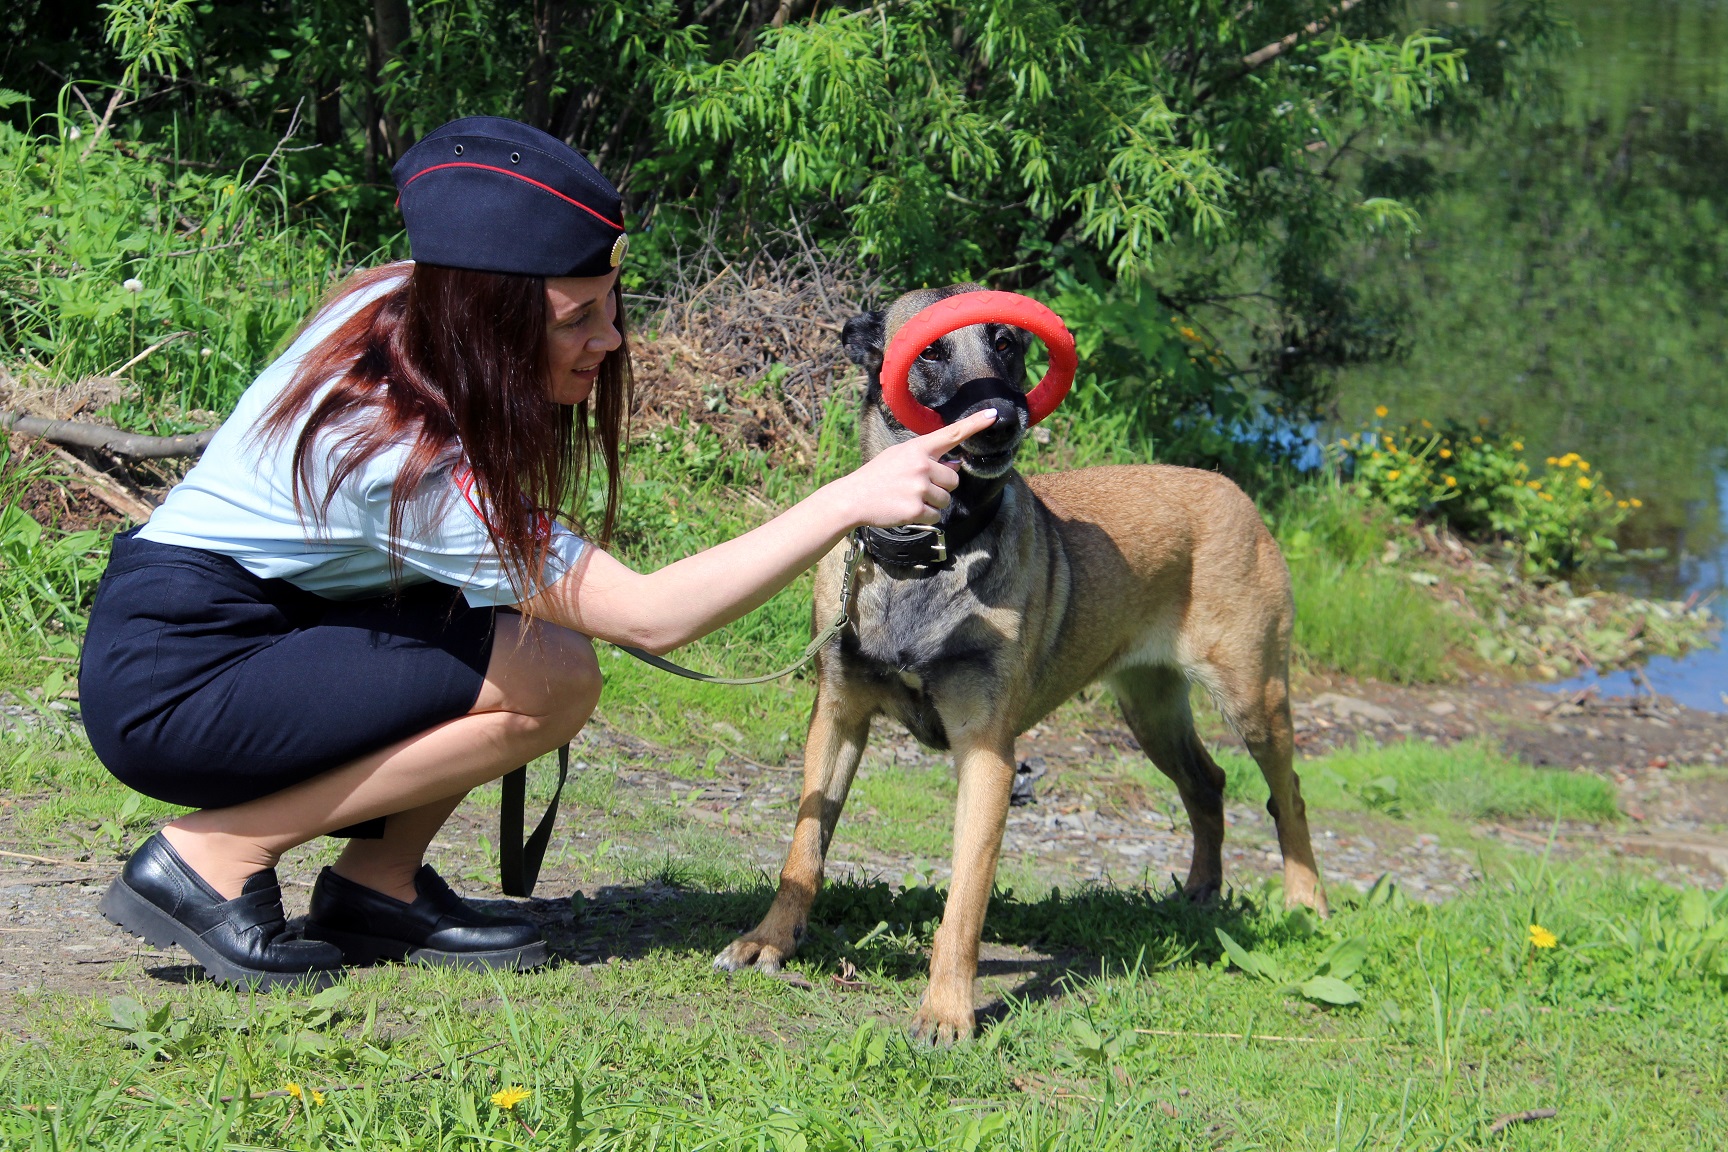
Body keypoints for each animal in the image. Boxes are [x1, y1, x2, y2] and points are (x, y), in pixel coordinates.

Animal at [711, 281, 1320, 1043]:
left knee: (1285, 791)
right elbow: (804, 848)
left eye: (1006, 344)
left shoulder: (987, 753)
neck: (930, 553)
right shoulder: (839, 718)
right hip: (1150, 708)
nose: (1002, 419)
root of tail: (1233, 492)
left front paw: (947, 1011)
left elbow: (965, 900)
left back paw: (1306, 901)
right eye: (931, 351)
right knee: (1207, 784)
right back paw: (1200, 891)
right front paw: (770, 939)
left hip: (1252, 696)